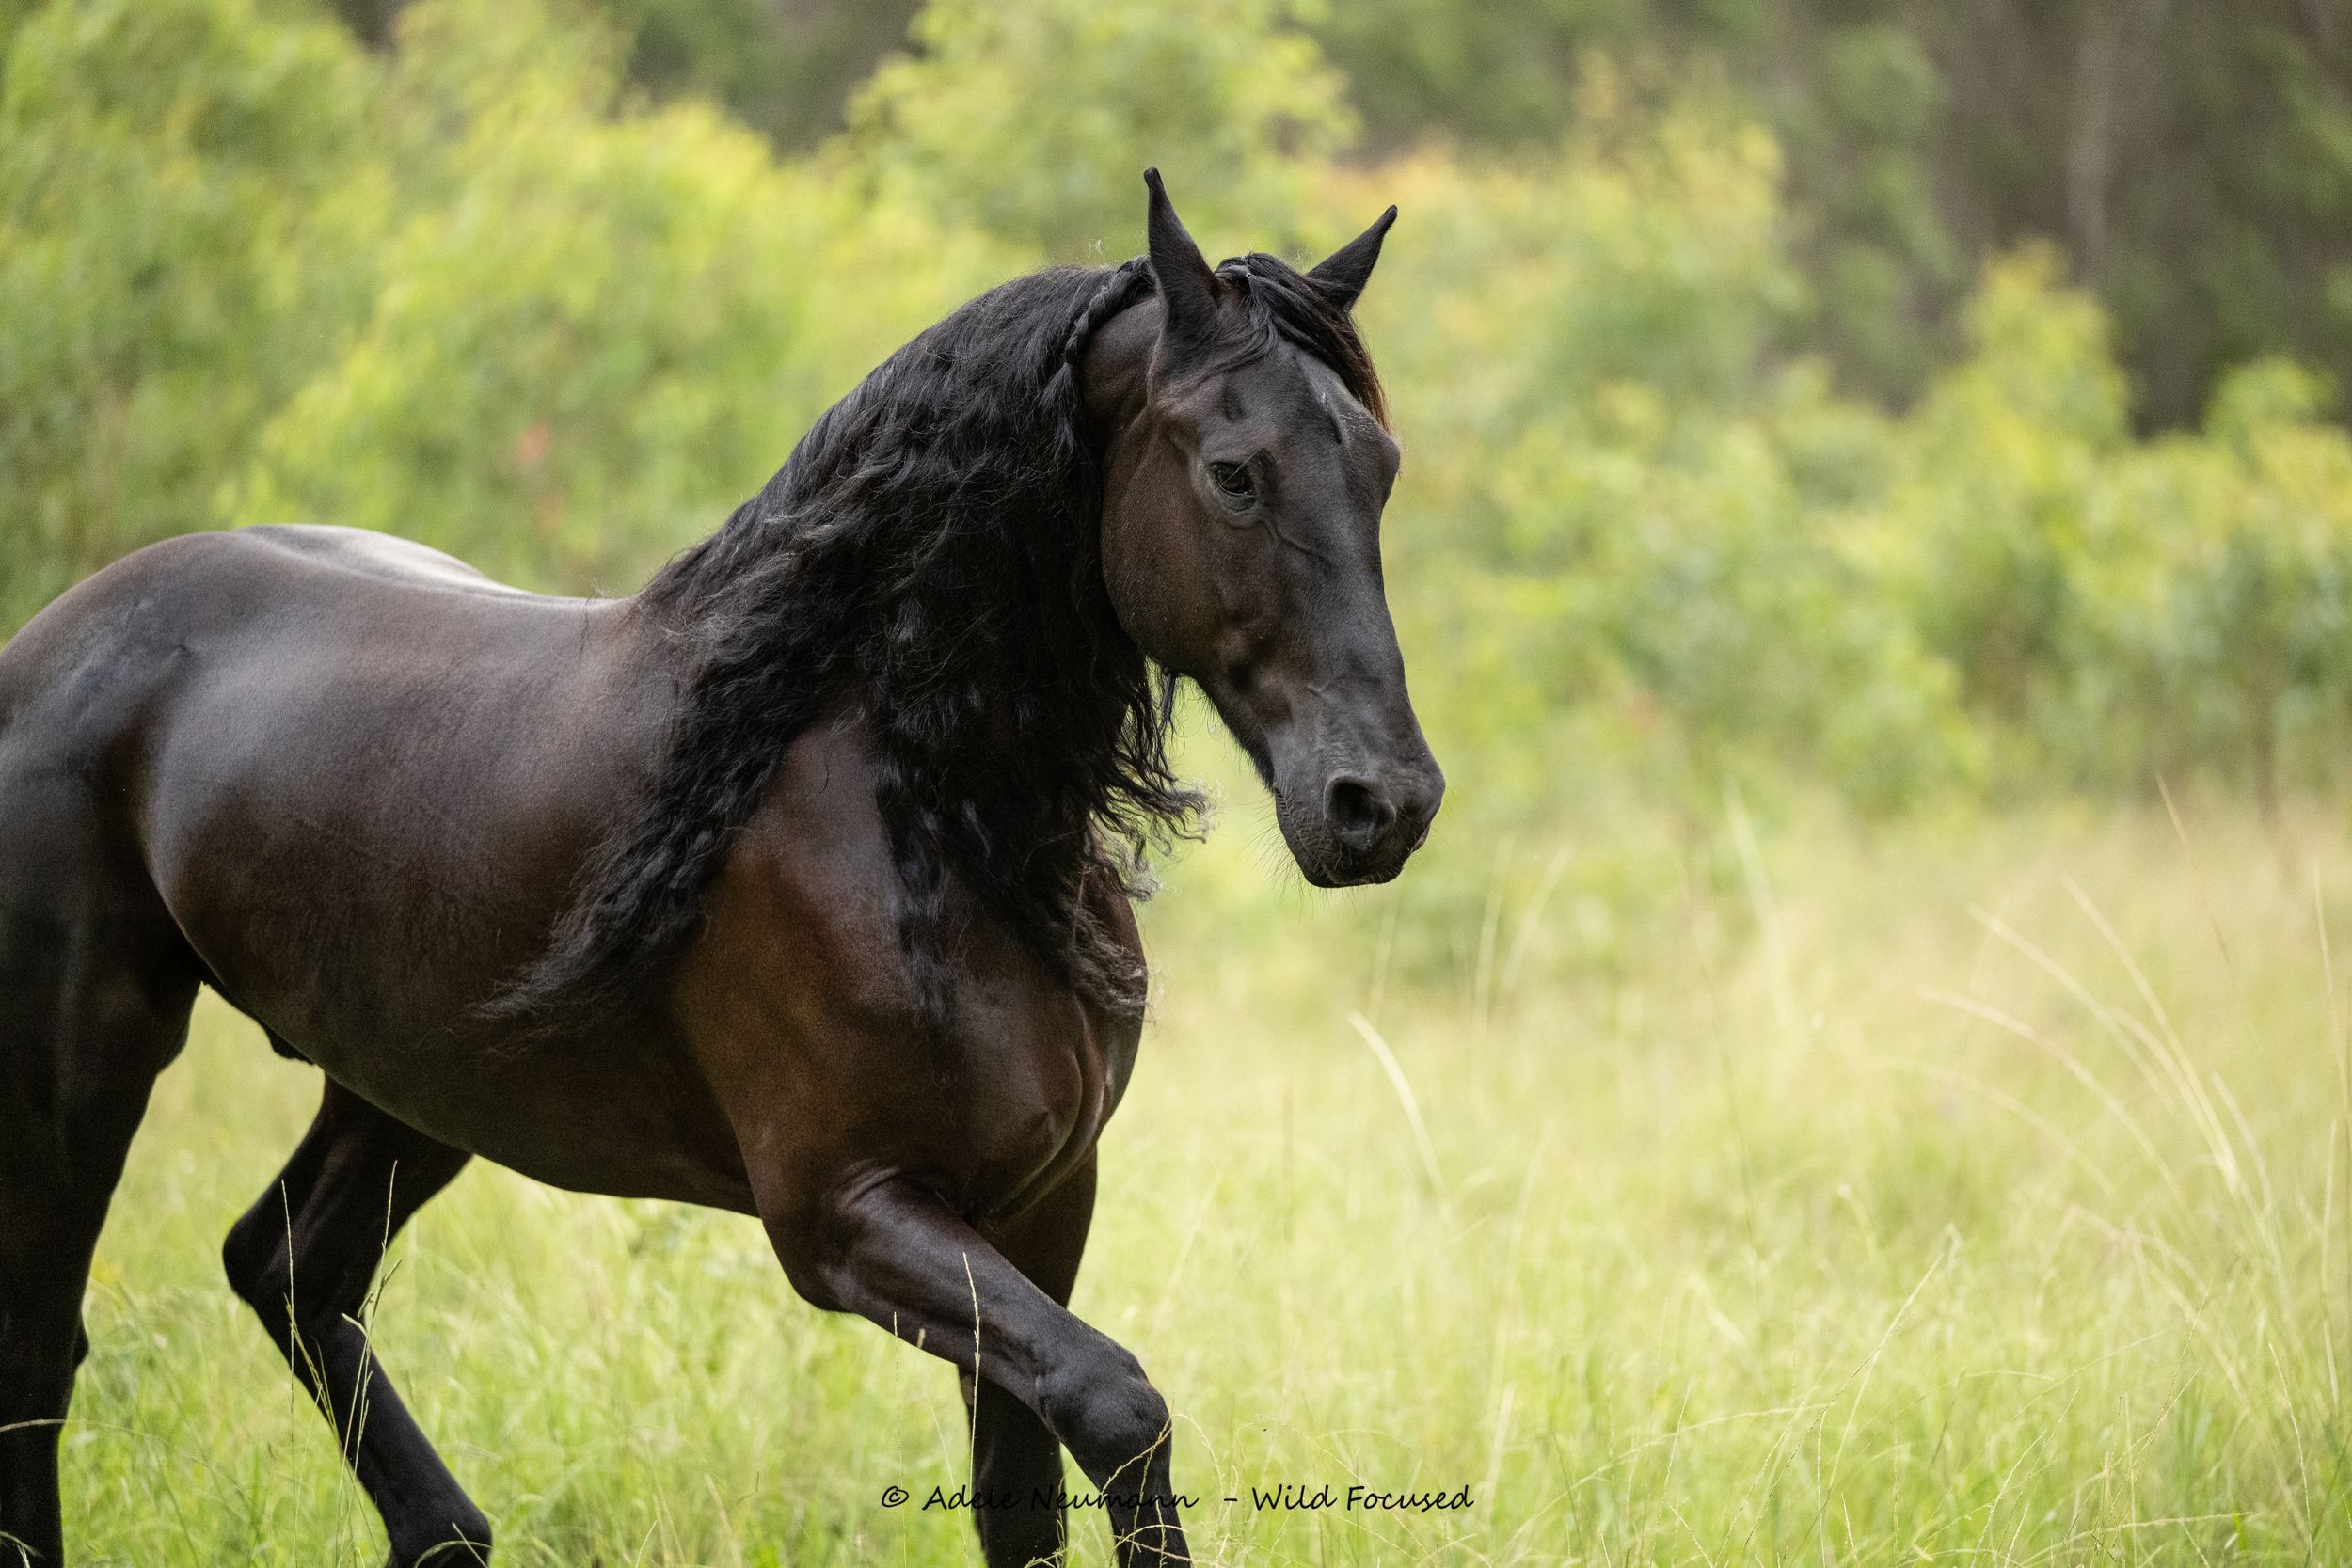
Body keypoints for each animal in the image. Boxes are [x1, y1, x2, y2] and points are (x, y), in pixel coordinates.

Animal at [0, 170, 1442, 1568]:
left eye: (1378, 465)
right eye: (1235, 473)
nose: (1383, 803)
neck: (920, 806)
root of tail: (58, 633)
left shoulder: (1039, 1201)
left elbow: (1023, 1494)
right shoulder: (846, 1213)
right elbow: (1118, 1403)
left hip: (406, 1086)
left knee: (290, 1267)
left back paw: (448, 1531)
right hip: (88, 1067)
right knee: (45, 1351)